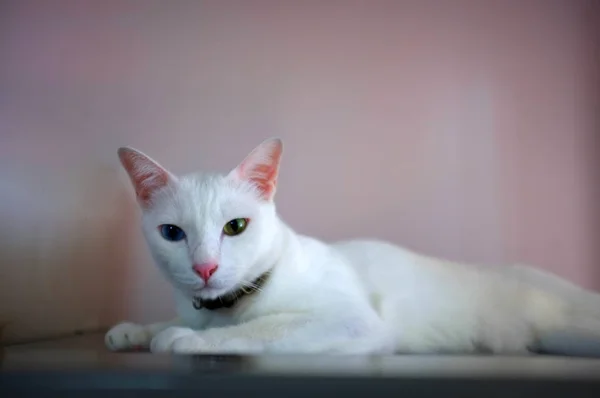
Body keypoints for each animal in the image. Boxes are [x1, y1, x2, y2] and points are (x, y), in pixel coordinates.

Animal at [105, 138, 600, 354]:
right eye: (173, 233)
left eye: (236, 226)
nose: (205, 268)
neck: (224, 307)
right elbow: (172, 319)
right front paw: (134, 330)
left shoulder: (350, 320)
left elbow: (261, 329)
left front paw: (185, 338)